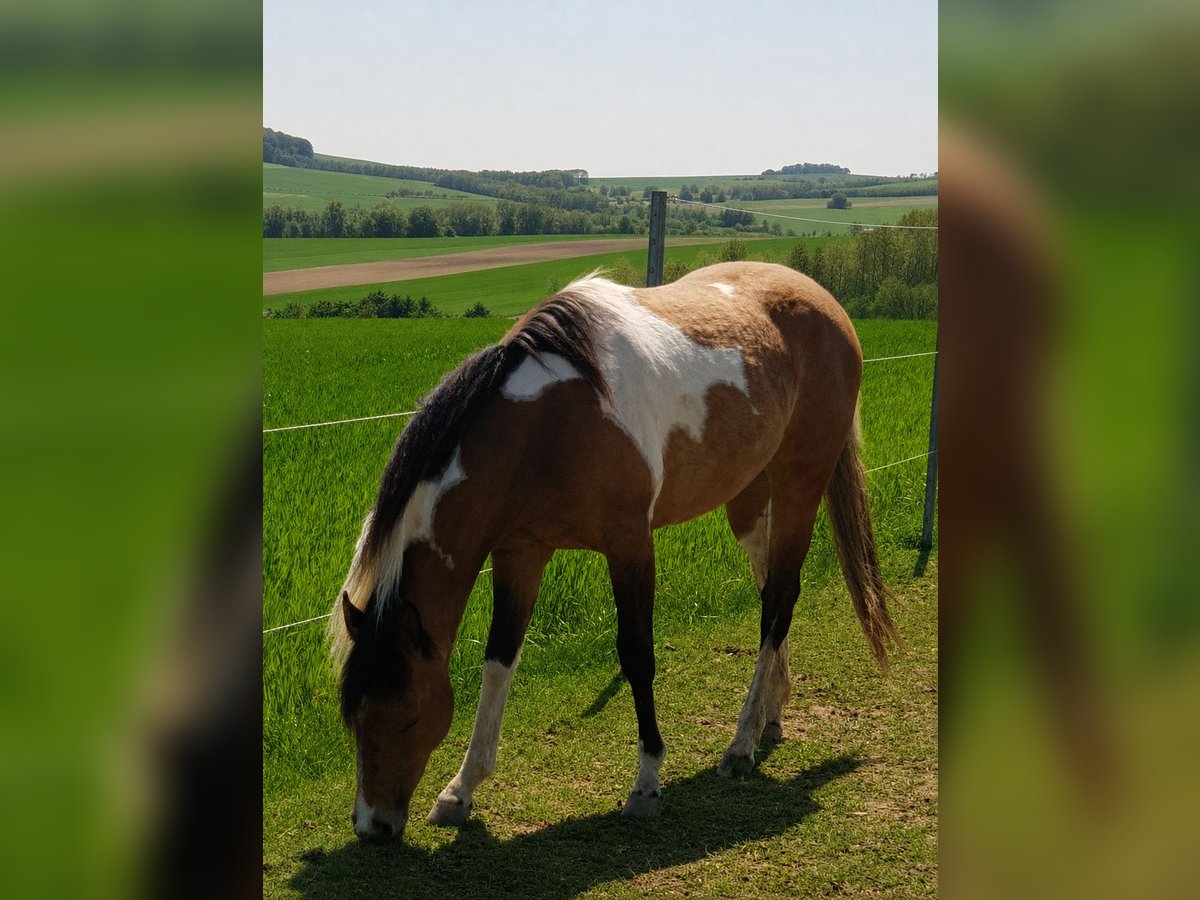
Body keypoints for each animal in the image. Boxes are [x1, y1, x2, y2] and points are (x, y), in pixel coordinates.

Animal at [329, 260, 900, 842]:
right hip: (747, 498)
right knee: (770, 593)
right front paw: (460, 791)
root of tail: (825, 301)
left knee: (780, 600)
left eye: (406, 715)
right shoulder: (520, 554)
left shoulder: (629, 545)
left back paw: (740, 744)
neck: (548, 426)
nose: (372, 826)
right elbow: (498, 661)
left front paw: (646, 783)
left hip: (800, 483)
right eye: (353, 719)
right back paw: (771, 712)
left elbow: (637, 655)